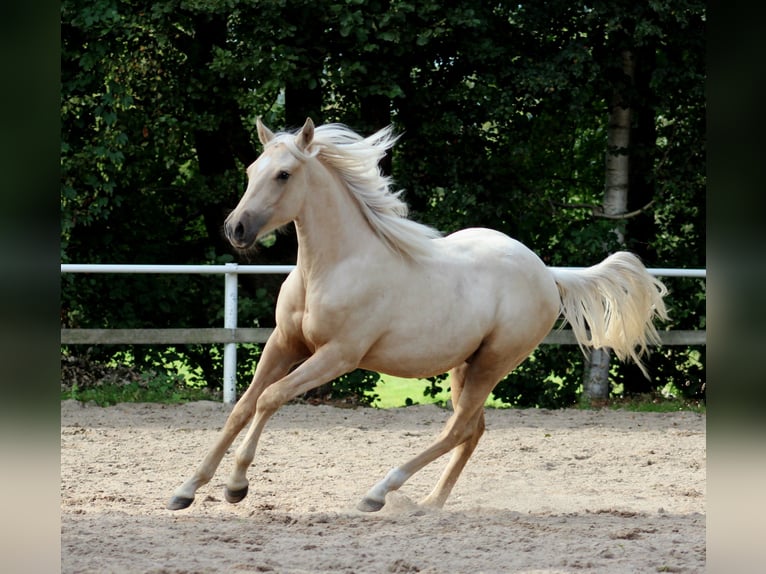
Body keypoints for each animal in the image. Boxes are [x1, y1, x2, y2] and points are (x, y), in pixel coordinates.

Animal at [166, 119, 664, 516]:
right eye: (252, 171)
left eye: (284, 174)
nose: (236, 228)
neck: (332, 268)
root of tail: (547, 272)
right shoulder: (284, 343)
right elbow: (242, 407)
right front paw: (186, 490)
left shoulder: (337, 356)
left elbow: (269, 399)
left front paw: (236, 487)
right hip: (466, 366)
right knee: (472, 429)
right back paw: (429, 503)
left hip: (492, 363)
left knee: (458, 427)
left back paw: (379, 493)